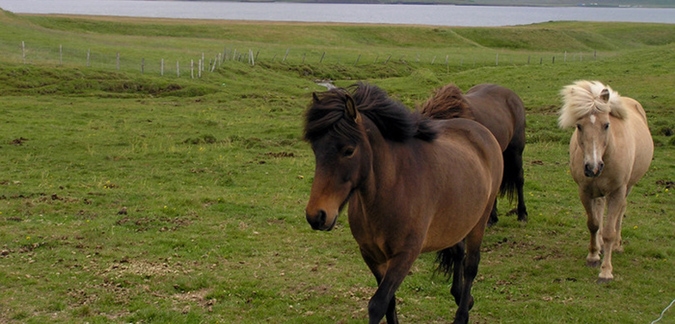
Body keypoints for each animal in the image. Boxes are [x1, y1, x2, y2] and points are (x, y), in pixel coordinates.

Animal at [304, 83, 504, 324]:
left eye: (348, 151)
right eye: (316, 149)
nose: (317, 215)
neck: (392, 190)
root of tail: (483, 133)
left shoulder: (404, 256)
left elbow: (378, 304)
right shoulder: (371, 255)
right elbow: (389, 302)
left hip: (479, 221)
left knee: (471, 266)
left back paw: (462, 314)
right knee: (458, 252)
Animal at [560, 79, 656, 282]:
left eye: (606, 125)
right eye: (579, 126)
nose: (592, 167)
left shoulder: (617, 190)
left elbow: (609, 231)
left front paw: (605, 271)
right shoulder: (585, 191)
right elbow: (594, 224)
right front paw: (593, 256)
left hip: (626, 187)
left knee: (621, 211)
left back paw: (617, 246)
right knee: (600, 209)